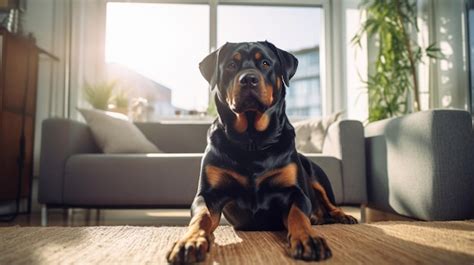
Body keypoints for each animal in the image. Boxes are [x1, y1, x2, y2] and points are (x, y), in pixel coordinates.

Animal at [167, 40, 356, 262]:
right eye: (231, 65)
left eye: (265, 63)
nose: (249, 79)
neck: (252, 142)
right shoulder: (209, 194)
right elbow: (201, 217)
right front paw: (190, 241)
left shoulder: (295, 191)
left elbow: (298, 214)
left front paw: (308, 238)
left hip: (316, 174)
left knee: (329, 203)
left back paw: (343, 216)